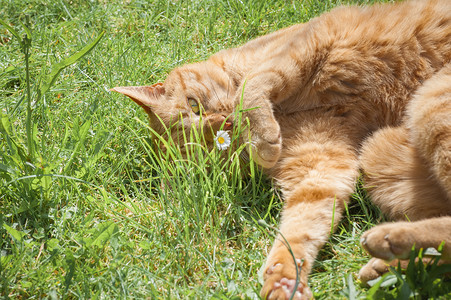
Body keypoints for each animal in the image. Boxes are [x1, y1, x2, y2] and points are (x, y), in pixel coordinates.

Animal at [112, 0, 451, 298]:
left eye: (194, 105)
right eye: (211, 149)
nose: (227, 122)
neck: (284, 112)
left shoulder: (303, 45)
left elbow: (251, 85)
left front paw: (261, 135)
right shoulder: (320, 165)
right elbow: (301, 224)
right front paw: (284, 278)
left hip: (429, 106)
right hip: (379, 154)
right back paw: (389, 256)